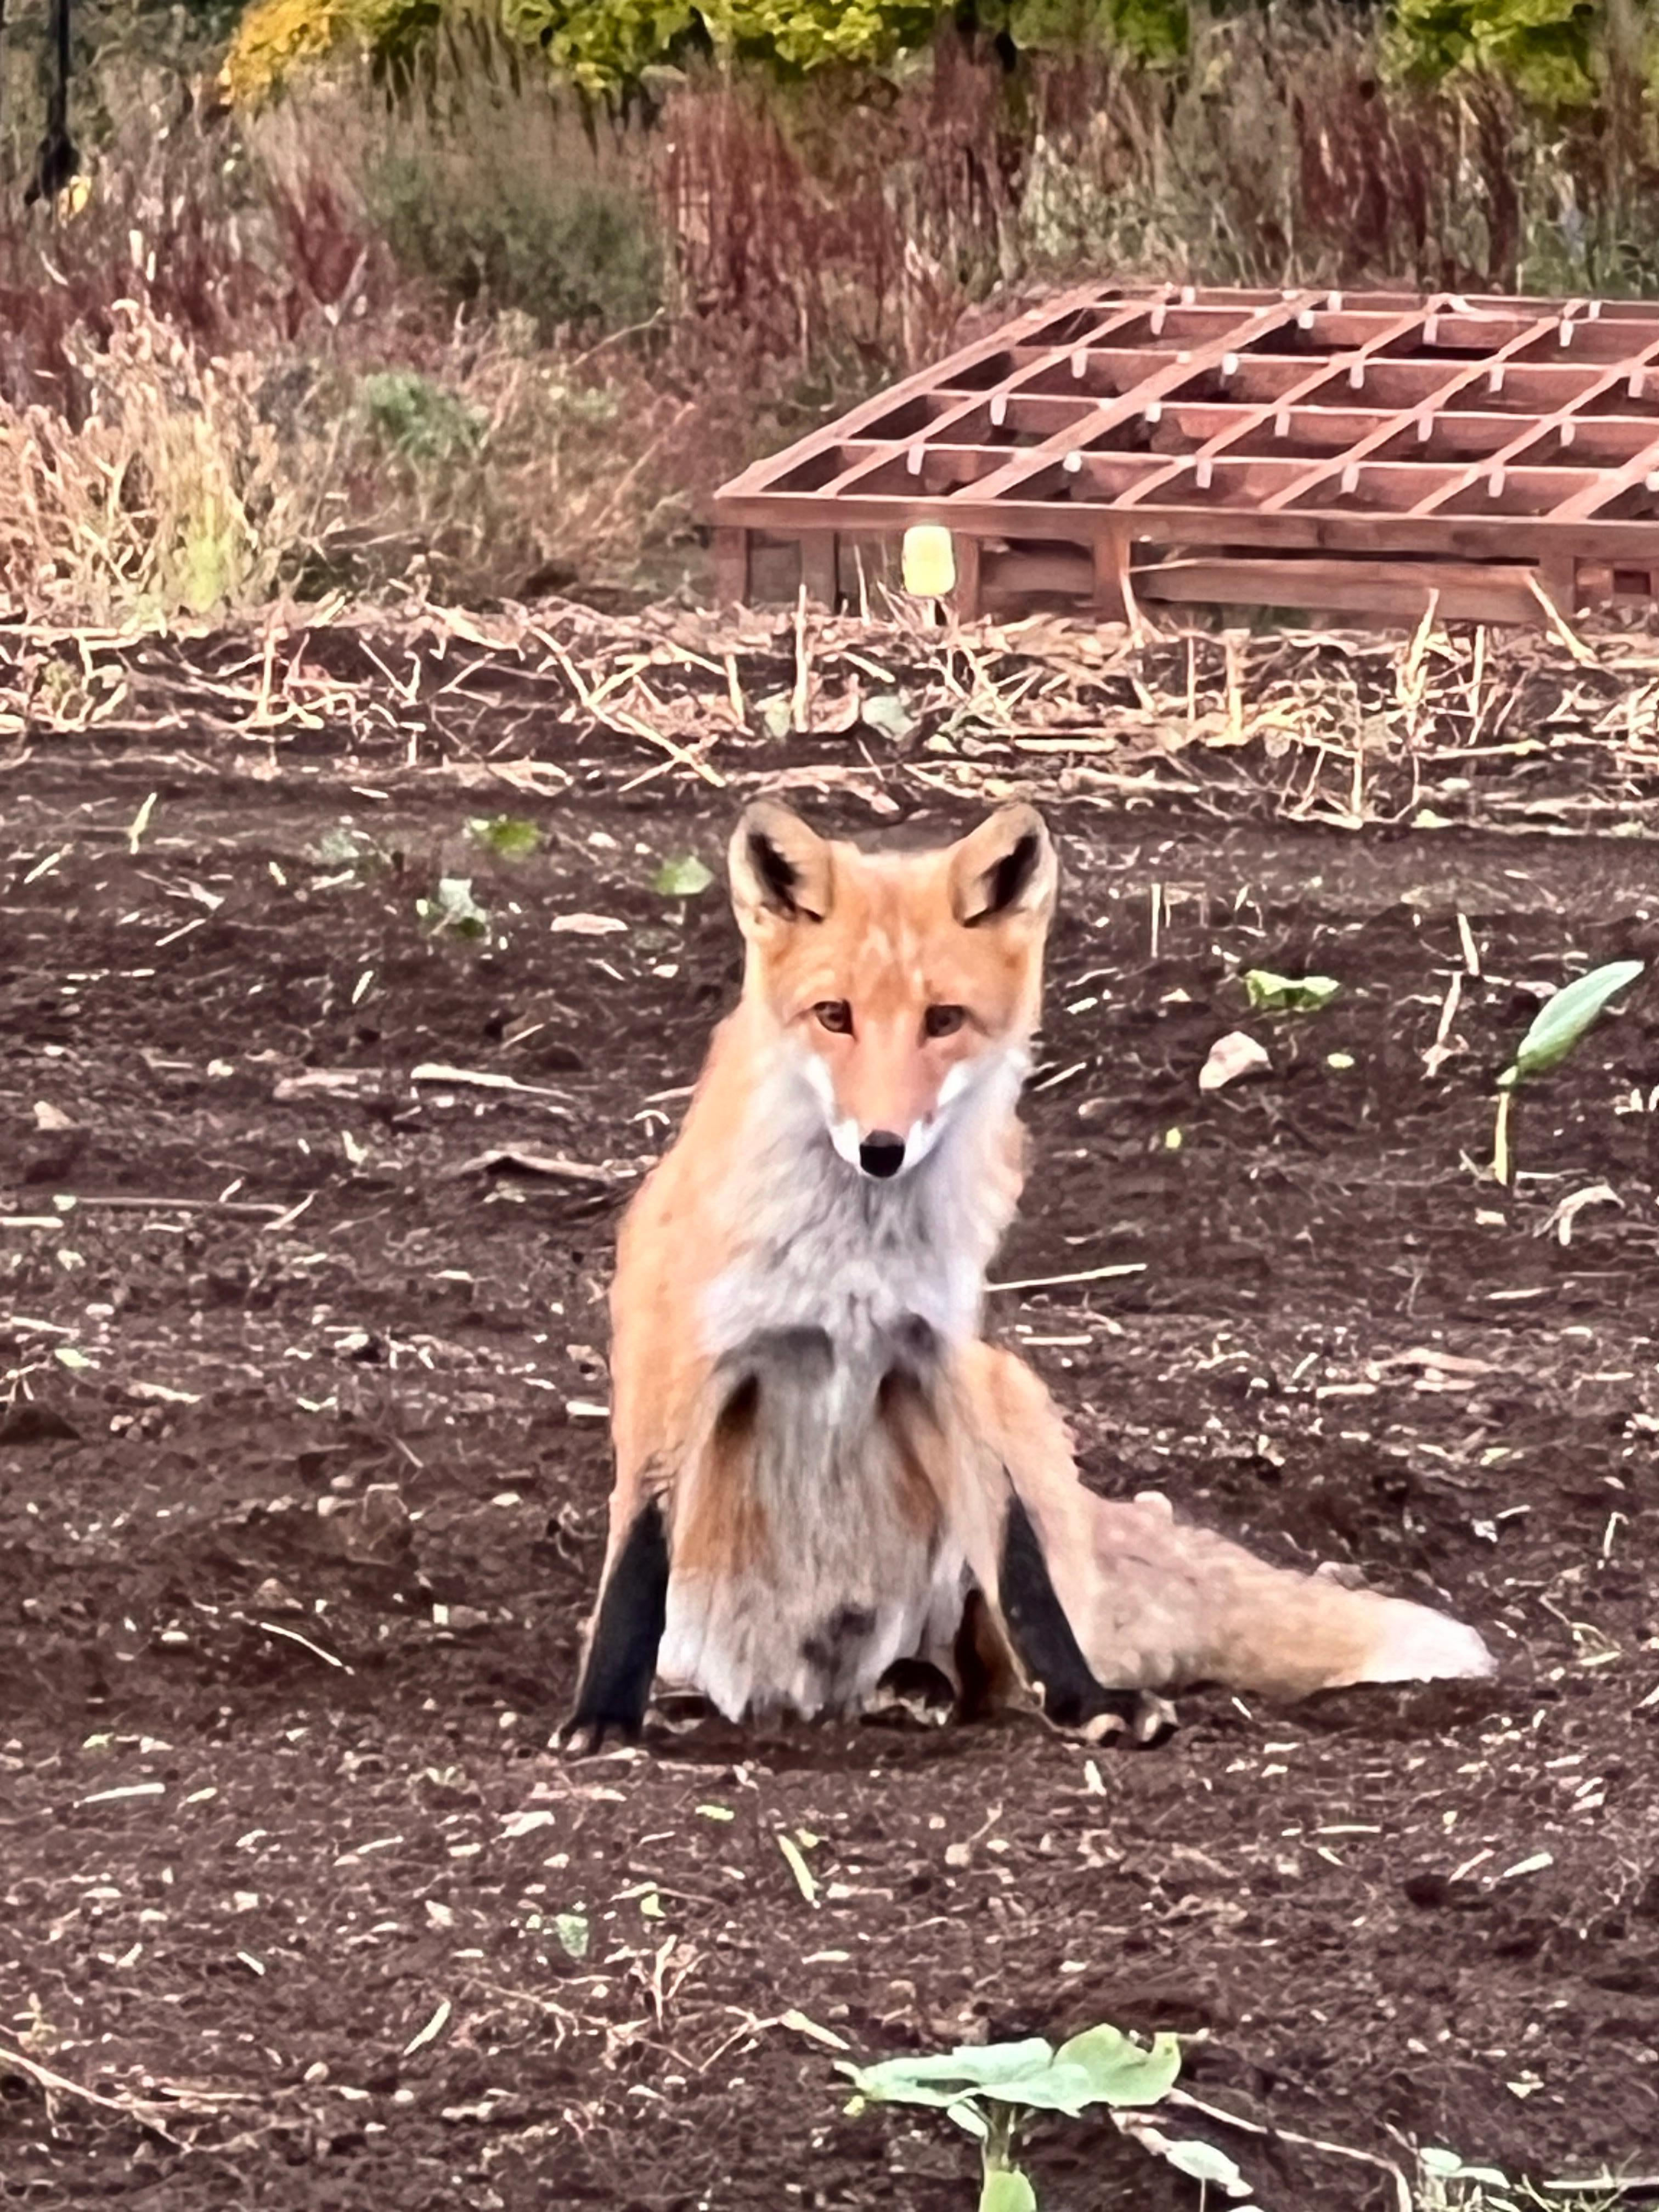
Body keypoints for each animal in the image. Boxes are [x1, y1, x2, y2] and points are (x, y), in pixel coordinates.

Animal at [566, 796, 1504, 1743]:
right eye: (834, 1016)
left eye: (943, 1021)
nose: (881, 1149)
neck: (853, 1255)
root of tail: (805, 1690)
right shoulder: (678, 1358)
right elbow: (637, 1560)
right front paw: (603, 1716)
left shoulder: (941, 1357)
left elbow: (1017, 1561)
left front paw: (1086, 1699)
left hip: (1012, 1389)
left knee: (987, 1661)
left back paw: (921, 1684)